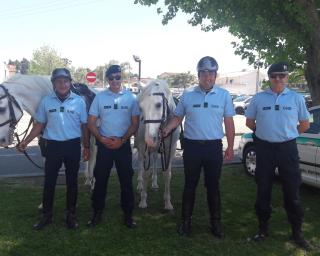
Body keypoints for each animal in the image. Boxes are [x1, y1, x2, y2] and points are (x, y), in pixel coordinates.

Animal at [134, 79, 180, 210]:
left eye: (158, 104)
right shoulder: (145, 148)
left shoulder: (171, 149)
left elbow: (167, 174)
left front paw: (168, 202)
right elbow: (146, 172)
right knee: (140, 162)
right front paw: (143, 200)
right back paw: (140, 184)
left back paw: (154, 183)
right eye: (141, 107)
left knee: (154, 159)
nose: (150, 139)